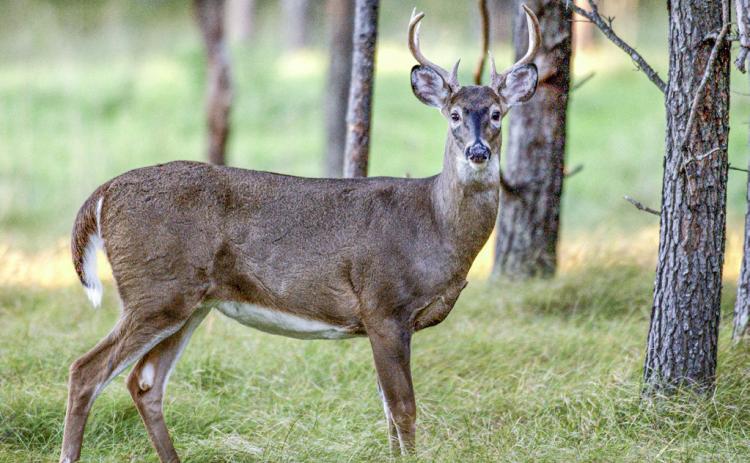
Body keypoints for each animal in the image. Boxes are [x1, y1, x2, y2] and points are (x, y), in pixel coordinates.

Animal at [59, 6, 540, 462]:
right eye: (454, 114)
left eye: (497, 114)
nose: (477, 152)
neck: (435, 228)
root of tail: (103, 194)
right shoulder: (383, 305)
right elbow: (403, 409)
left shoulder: (385, 320)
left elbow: (387, 411)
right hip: (155, 288)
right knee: (86, 370)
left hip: (190, 302)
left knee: (144, 382)